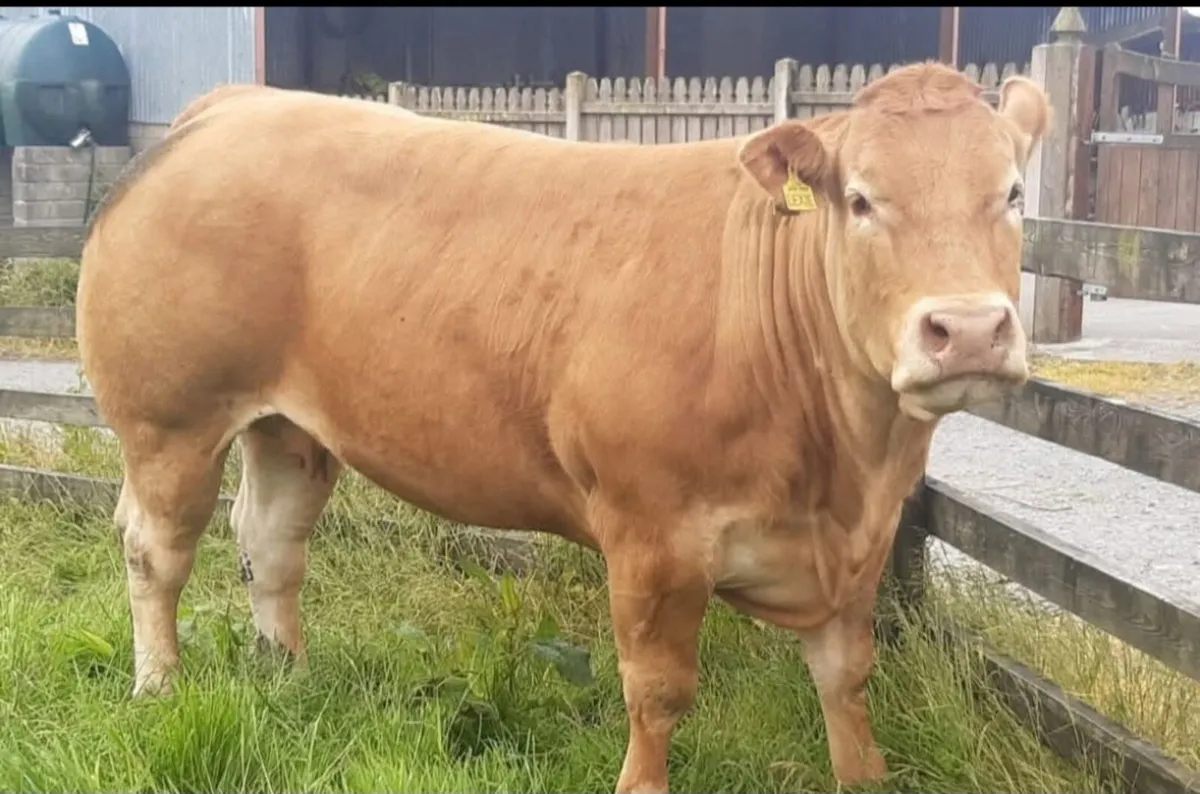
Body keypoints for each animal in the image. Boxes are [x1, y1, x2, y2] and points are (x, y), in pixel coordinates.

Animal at [76, 62, 1049, 793]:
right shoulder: (652, 537)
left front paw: (862, 775)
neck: (843, 468)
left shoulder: (859, 547)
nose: (966, 328)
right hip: (169, 424)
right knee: (156, 552)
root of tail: (234, 105)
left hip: (289, 430)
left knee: (271, 546)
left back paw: (289, 676)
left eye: (1011, 193)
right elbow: (658, 692)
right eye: (860, 200)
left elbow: (847, 679)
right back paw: (158, 686)